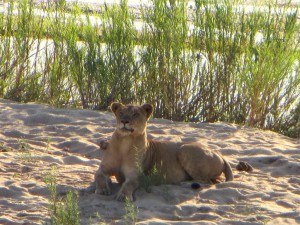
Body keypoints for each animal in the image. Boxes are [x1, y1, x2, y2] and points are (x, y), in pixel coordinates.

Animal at [95, 103, 234, 201]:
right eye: (120, 113)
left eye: (135, 114)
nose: (124, 121)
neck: (125, 142)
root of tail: (219, 154)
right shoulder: (104, 167)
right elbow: (99, 175)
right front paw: (102, 190)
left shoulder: (135, 175)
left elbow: (128, 185)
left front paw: (123, 196)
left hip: (185, 149)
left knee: (206, 181)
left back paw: (183, 183)